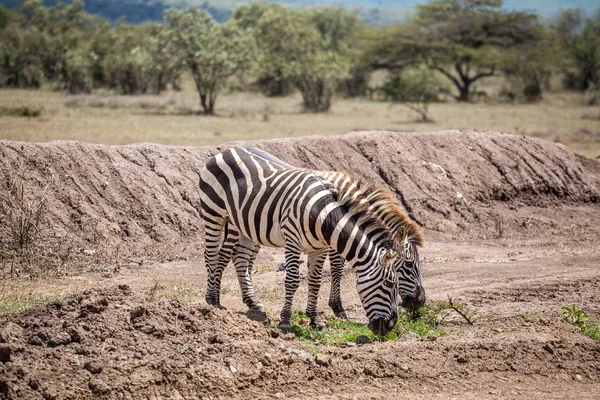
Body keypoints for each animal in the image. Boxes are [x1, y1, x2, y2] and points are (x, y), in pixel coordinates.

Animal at [199, 146, 424, 334]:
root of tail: (228, 149)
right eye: (391, 282)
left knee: (241, 258)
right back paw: (213, 301)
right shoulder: (294, 240)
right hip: (215, 214)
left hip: (248, 224)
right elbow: (301, 278)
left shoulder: (320, 246)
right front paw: (288, 320)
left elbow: (316, 281)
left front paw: (314, 319)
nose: (420, 301)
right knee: (214, 255)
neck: (324, 213)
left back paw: (253, 302)